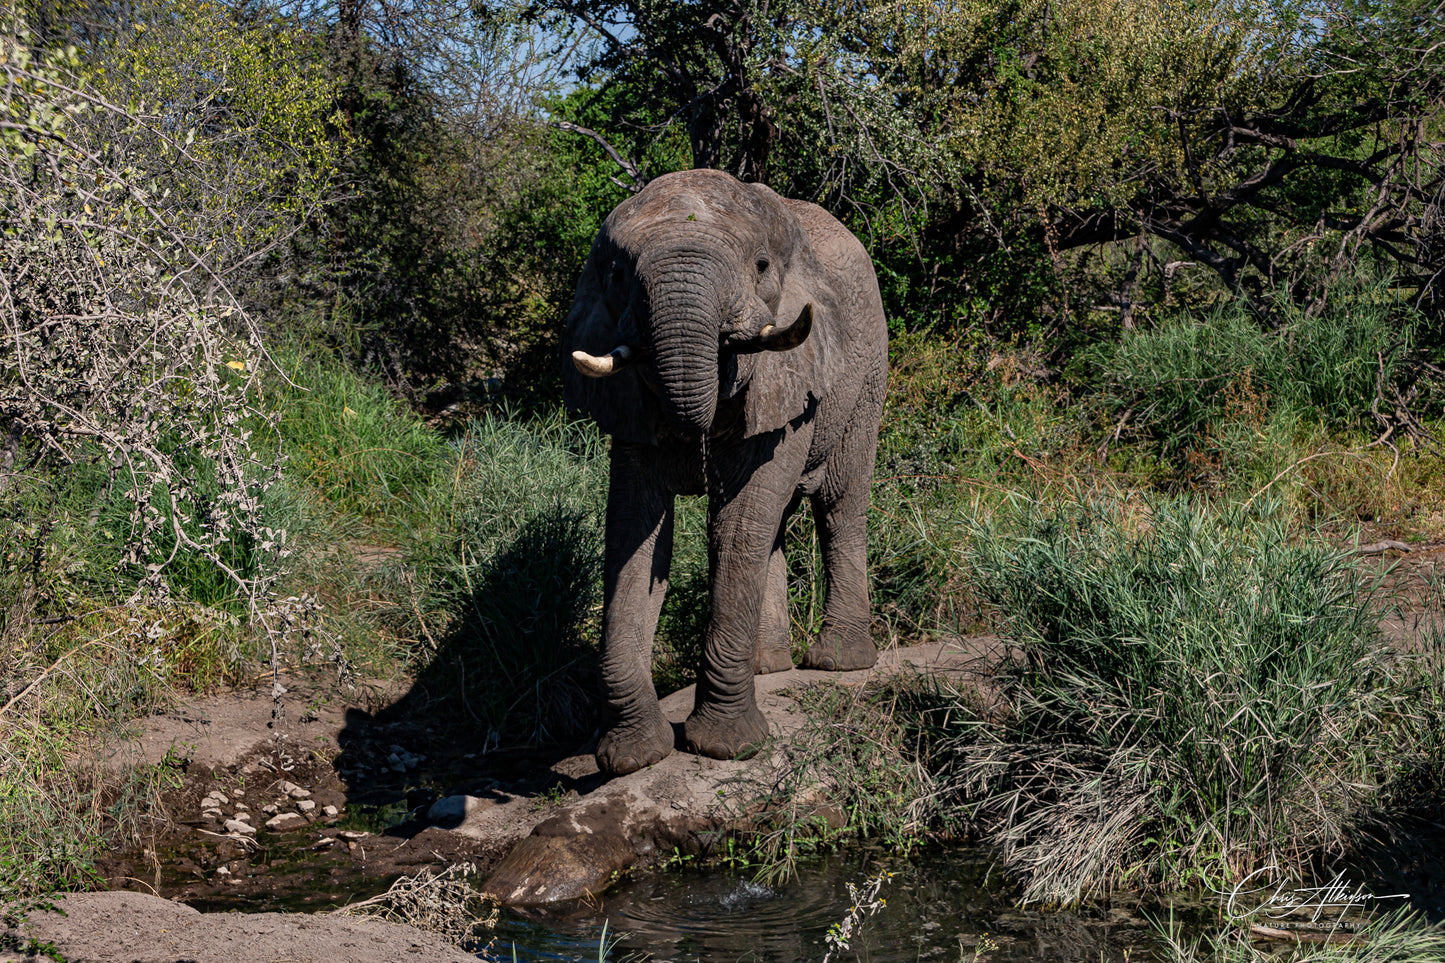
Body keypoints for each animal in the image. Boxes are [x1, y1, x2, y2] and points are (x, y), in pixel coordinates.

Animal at [566, 168, 890, 775]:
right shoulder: (628, 406)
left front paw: (727, 747)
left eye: (761, 267)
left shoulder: (790, 371)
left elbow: (736, 525)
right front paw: (633, 757)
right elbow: (636, 530)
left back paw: (840, 663)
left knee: (838, 503)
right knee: (775, 524)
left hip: (868, 376)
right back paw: (769, 666)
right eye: (617, 274)